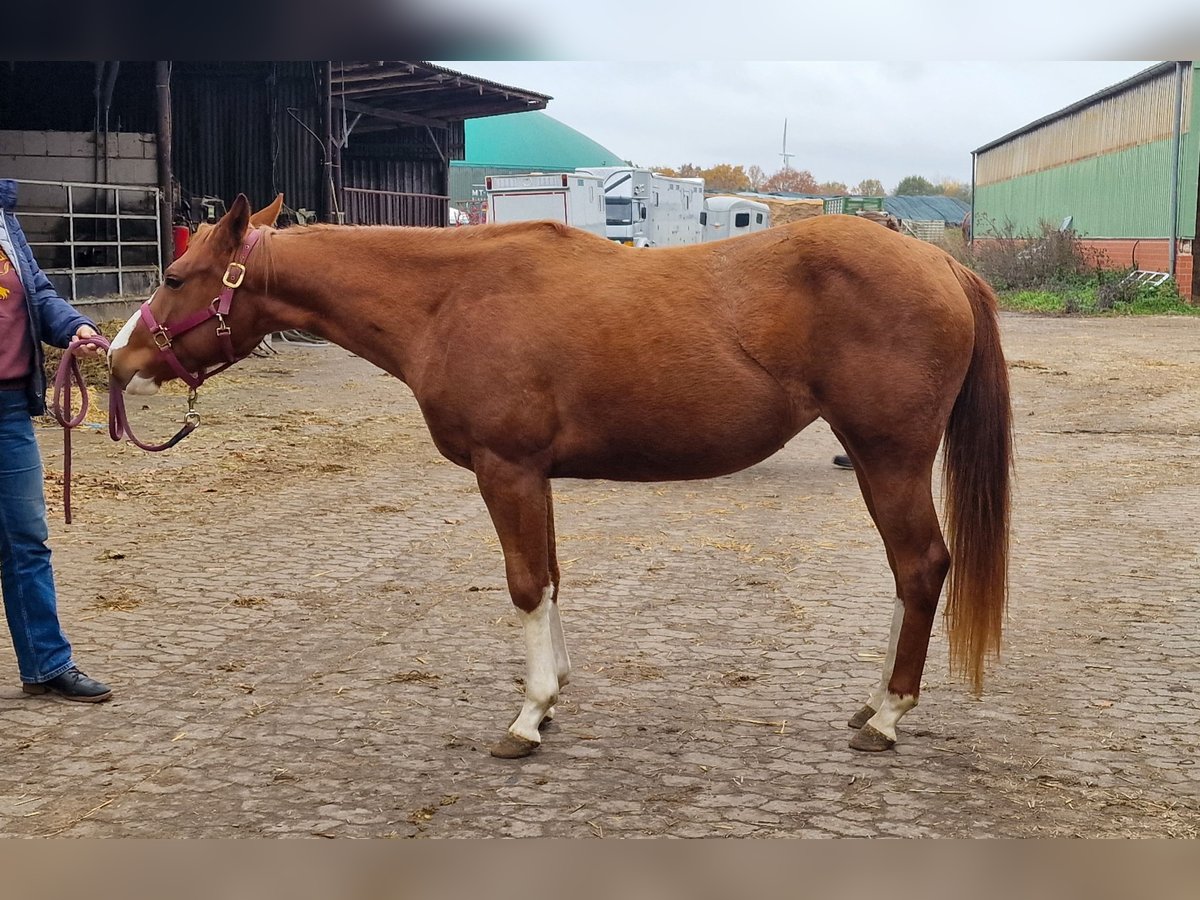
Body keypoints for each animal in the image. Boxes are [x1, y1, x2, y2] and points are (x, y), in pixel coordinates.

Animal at [108, 194, 1012, 759]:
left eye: (176, 277)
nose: (117, 359)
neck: (451, 297)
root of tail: (941, 265)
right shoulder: (532, 475)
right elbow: (548, 576)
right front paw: (554, 696)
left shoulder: (505, 469)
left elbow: (523, 584)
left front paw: (529, 714)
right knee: (908, 573)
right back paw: (874, 698)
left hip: (888, 456)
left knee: (921, 567)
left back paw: (888, 715)